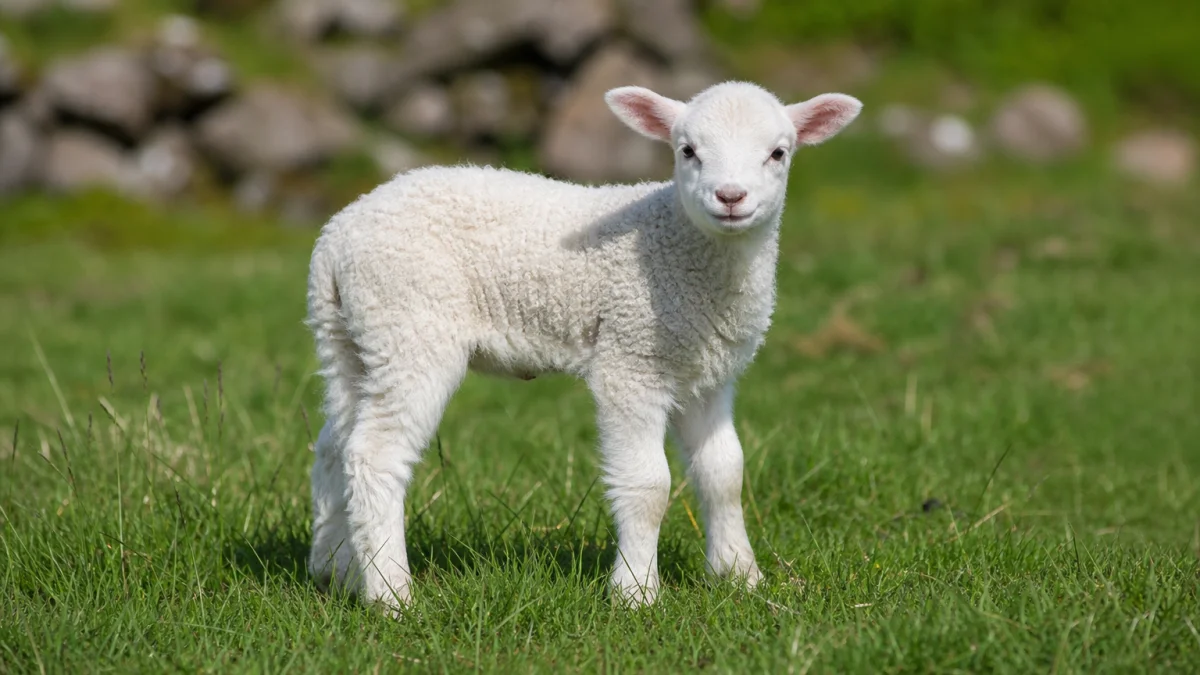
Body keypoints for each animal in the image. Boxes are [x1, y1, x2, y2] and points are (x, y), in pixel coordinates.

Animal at [305, 80, 862, 610]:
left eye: (778, 153)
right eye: (687, 150)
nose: (730, 197)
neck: (682, 246)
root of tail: (336, 239)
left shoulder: (707, 372)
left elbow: (724, 473)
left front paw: (740, 577)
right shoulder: (631, 359)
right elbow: (648, 486)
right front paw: (636, 592)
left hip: (352, 339)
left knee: (334, 445)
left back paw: (335, 570)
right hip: (411, 327)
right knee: (375, 455)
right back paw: (391, 594)